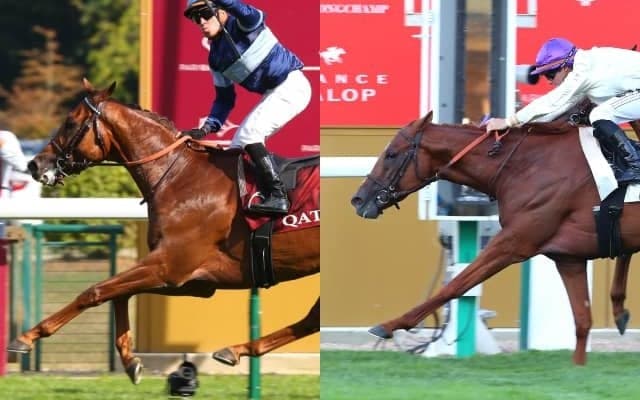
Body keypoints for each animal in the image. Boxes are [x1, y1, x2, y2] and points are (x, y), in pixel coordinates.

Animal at [11, 79, 320, 384]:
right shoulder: (193, 280)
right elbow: (118, 293)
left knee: (312, 319)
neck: (180, 175)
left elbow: (95, 291)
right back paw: (235, 350)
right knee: (311, 320)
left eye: (70, 123)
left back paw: (235, 350)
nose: (35, 164)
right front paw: (130, 361)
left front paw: (26, 337)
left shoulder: (169, 265)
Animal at [351, 111, 640, 365]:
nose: (358, 199)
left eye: (391, 154)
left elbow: (456, 284)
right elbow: (582, 320)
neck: (527, 166)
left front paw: (391, 325)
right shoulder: (568, 258)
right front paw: (578, 367)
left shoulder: (513, 242)